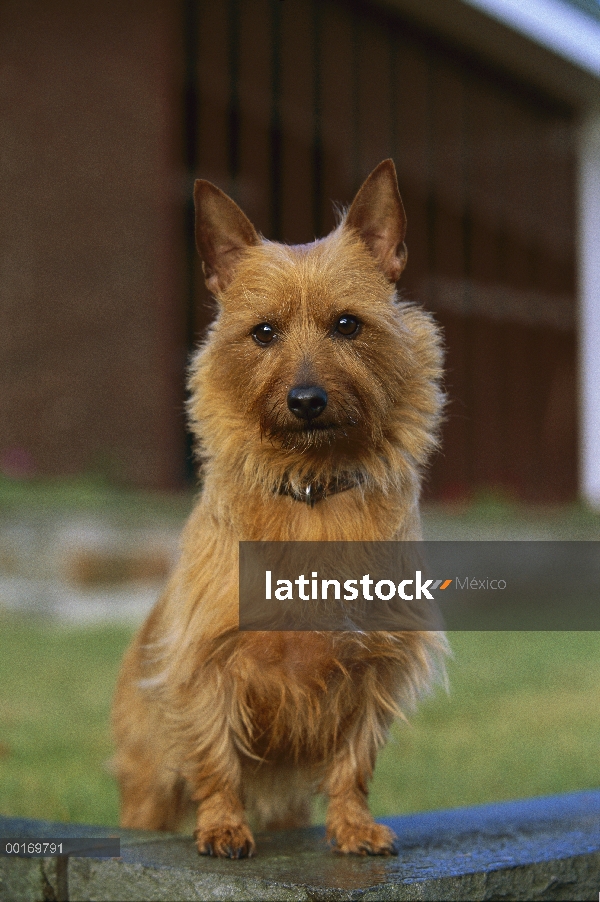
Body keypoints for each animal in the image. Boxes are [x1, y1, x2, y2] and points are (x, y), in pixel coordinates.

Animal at [112, 161, 448, 860]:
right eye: (263, 332)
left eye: (347, 325)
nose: (306, 399)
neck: (311, 491)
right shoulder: (209, 662)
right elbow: (215, 756)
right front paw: (222, 826)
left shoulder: (375, 667)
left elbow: (354, 762)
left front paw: (353, 825)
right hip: (148, 784)